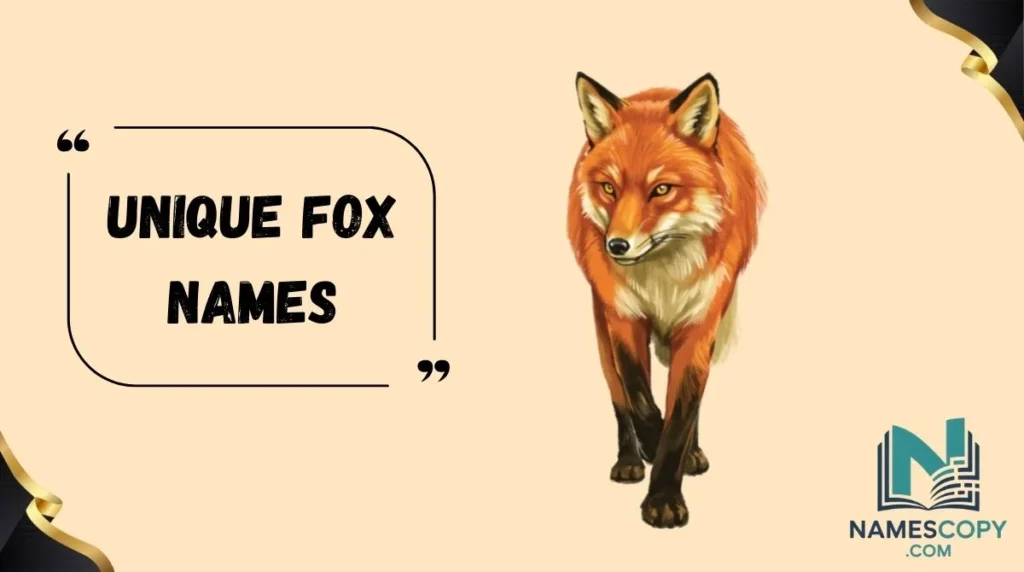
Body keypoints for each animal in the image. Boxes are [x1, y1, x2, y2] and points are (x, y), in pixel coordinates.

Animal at [567, 71, 766, 528]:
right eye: (609, 187)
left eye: (661, 189)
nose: (616, 246)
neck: (663, 280)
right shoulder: (622, 318)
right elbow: (639, 399)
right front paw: (649, 448)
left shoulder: (700, 323)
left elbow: (682, 415)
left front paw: (664, 496)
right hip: (601, 326)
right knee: (618, 396)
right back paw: (629, 458)